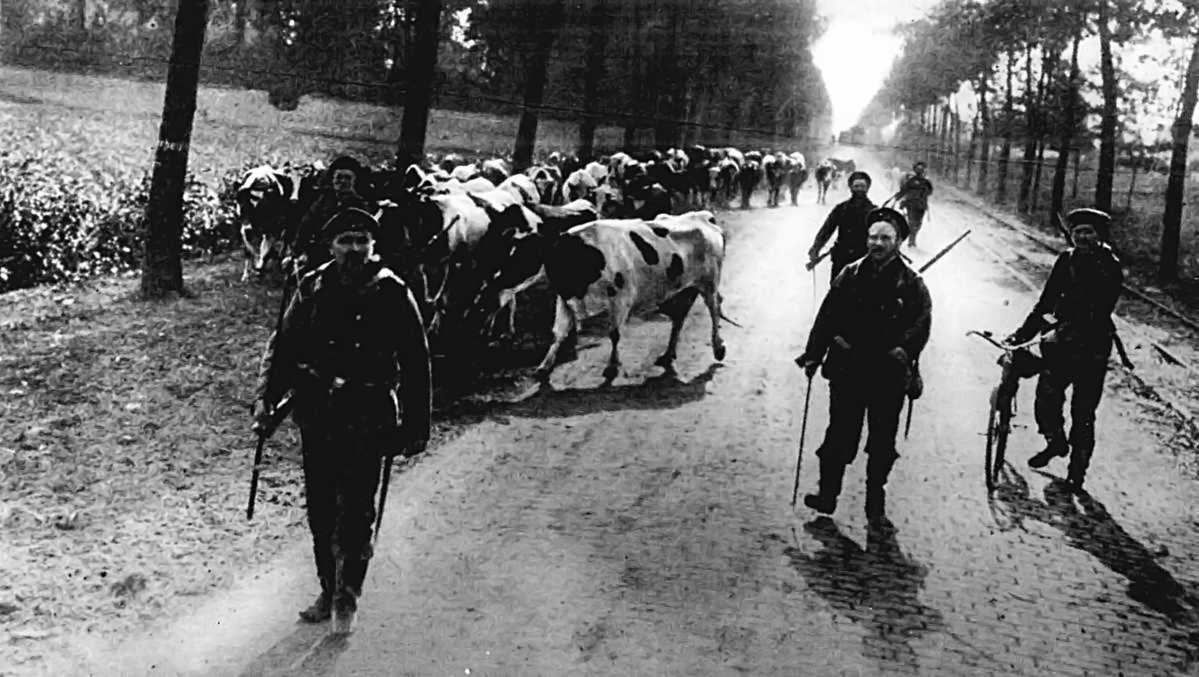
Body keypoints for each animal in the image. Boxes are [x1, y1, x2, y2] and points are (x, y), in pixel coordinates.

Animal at [534, 208, 728, 383]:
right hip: (682, 289)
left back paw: (718, 348)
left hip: (709, 282)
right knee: (679, 318)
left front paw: (612, 366)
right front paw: (544, 366)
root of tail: (702, 216)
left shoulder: (621, 298)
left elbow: (614, 334)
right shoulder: (564, 299)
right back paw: (668, 355)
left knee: (714, 308)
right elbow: (558, 333)